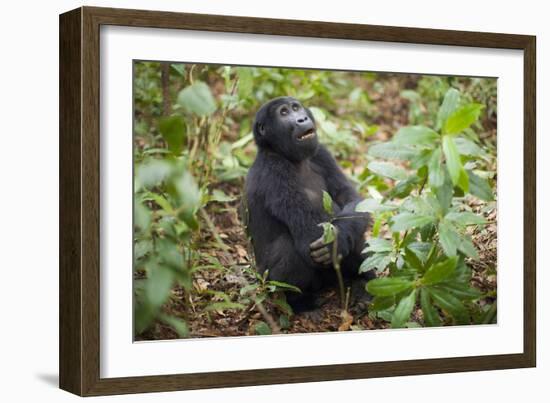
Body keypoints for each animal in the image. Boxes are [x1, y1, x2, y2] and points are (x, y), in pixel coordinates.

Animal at [246, 97, 376, 312]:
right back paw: (300, 303)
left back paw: (362, 282)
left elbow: (350, 199)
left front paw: (340, 238)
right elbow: (309, 234)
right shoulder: (274, 172)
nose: (302, 118)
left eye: (296, 107)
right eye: (283, 113)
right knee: (288, 248)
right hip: (268, 283)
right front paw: (334, 242)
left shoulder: (321, 153)